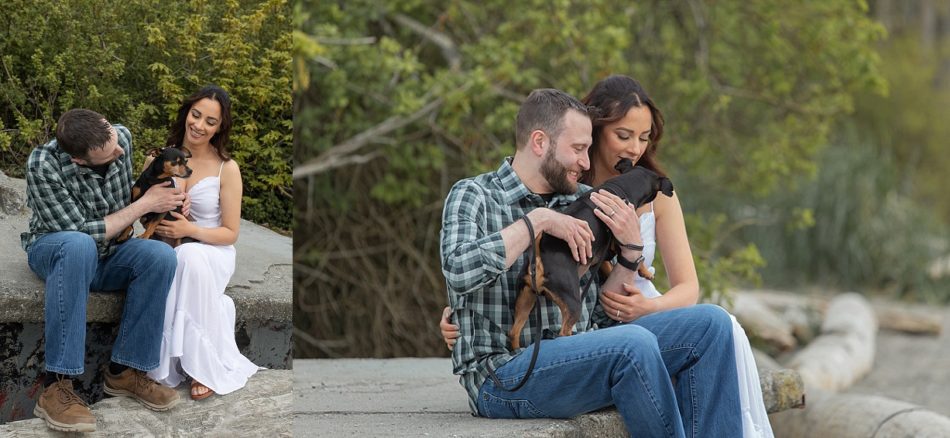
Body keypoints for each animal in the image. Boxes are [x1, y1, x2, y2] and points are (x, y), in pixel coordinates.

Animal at [512, 158, 676, 350]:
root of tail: (540, 254)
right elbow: (638, 252)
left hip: (525, 296)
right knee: (563, 332)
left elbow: (607, 267)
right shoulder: (619, 243)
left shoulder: (601, 255)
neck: (620, 188)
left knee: (513, 332)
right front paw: (646, 272)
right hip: (572, 301)